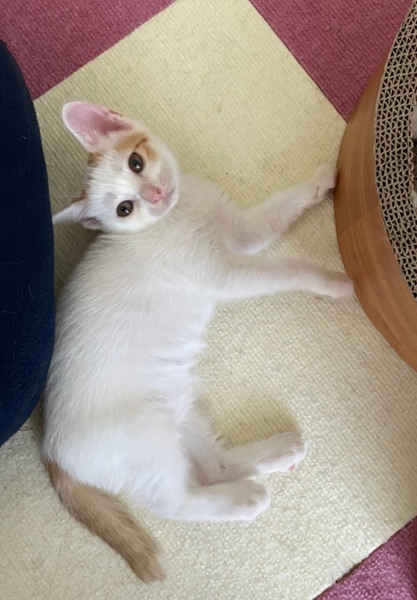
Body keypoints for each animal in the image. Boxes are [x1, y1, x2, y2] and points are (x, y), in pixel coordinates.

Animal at [43, 101, 353, 583]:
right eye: (125, 209)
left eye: (136, 163)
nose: (155, 196)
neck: (176, 214)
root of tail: (50, 449)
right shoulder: (225, 273)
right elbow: (287, 270)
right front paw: (336, 283)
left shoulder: (242, 232)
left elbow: (280, 206)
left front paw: (319, 180)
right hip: (149, 440)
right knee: (174, 501)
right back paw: (247, 500)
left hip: (177, 402)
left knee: (213, 467)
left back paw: (278, 451)